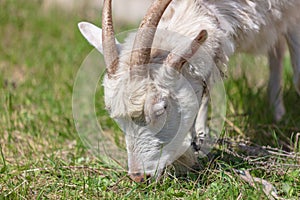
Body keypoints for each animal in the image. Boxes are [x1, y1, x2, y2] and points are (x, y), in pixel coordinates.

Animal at [78, 0, 300, 183]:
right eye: (115, 117)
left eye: (161, 108)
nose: (139, 177)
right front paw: (200, 137)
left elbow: (297, 77)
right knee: (276, 50)